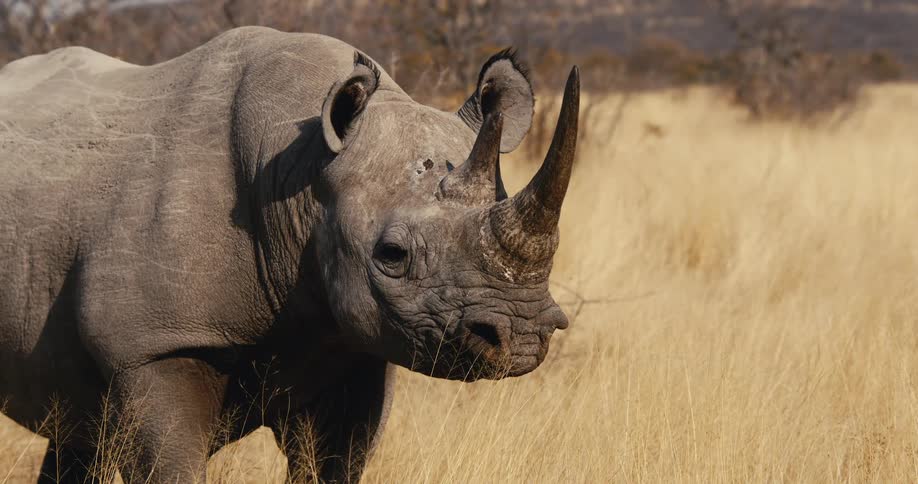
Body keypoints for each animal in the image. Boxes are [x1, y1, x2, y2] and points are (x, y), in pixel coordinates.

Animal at [0, 26, 579, 483]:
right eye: (391, 255)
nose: (521, 335)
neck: (304, 176)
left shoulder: (354, 346)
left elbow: (332, 463)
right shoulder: (154, 344)